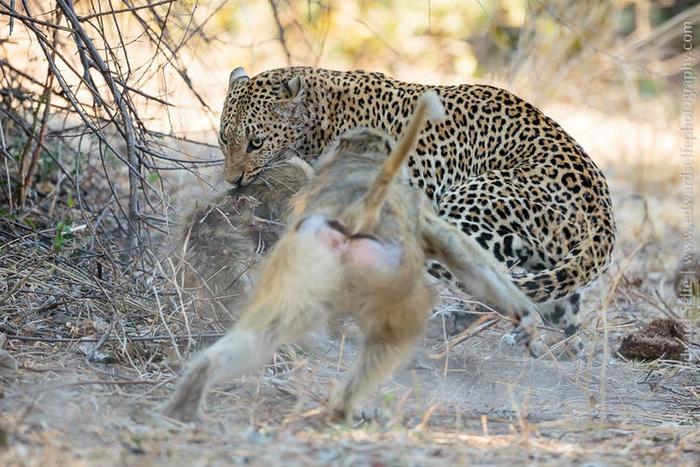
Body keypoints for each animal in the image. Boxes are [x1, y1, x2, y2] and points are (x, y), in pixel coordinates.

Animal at [216, 66, 616, 356]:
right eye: (223, 138)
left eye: (256, 142)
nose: (233, 179)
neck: (320, 119)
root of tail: (604, 212)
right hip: (554, 270)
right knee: (564, 317)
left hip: (465, 212)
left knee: (491, 277)